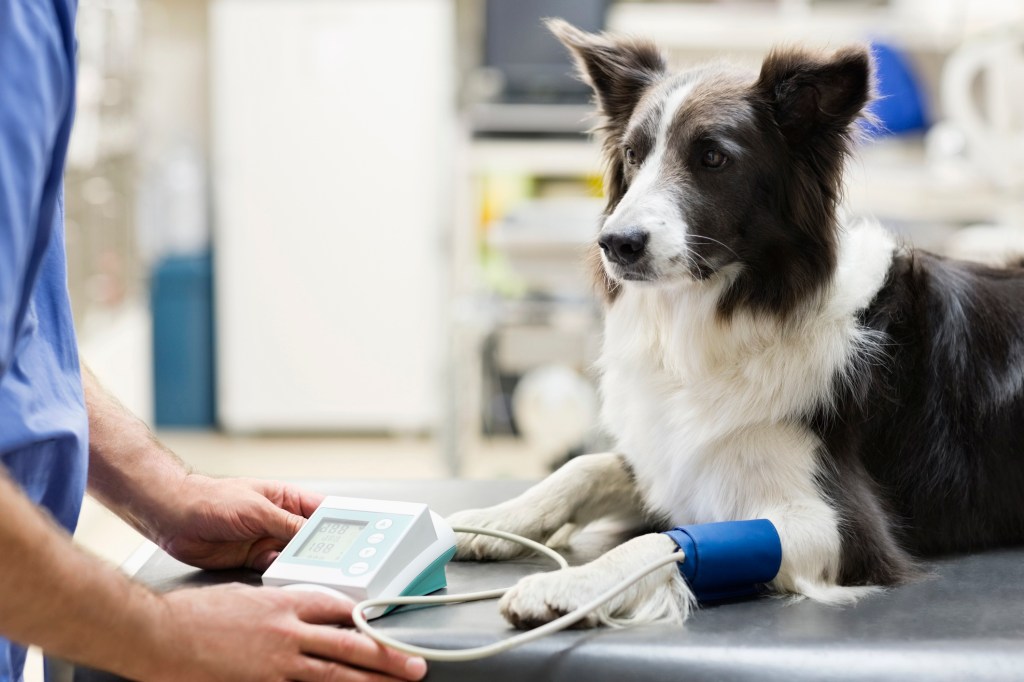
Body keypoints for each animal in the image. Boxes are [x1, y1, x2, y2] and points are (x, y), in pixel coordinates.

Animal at [452, 19, 1024, 626]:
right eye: (632, 155)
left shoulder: (844, 528)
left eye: (712, 158)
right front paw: (494, 519)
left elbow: (662, 541)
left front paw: (571, 584)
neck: (728, 314)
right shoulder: (676, 463)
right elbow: (586, 465)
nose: (615, 243)